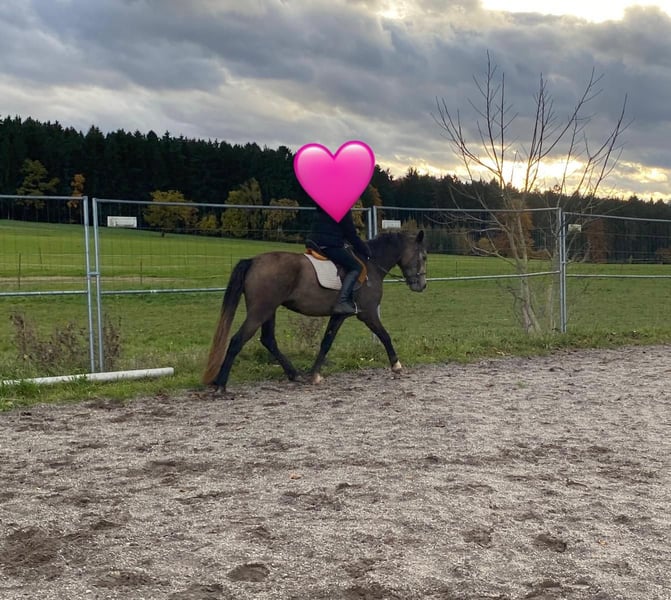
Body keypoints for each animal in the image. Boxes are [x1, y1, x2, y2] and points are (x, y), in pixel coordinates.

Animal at [202, 230, 427, 394]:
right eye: (423, 256)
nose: (422, 285)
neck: (371, 263)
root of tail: (253, 261)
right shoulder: (368, 313)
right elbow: (384, 335)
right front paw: (396, 365)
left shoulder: (339, 315)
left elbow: (326, 342)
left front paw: (314, 374)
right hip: (260, 311)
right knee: (237, 340)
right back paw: (221, 384)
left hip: (269, 311)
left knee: (268, 340)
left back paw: (294, 374)